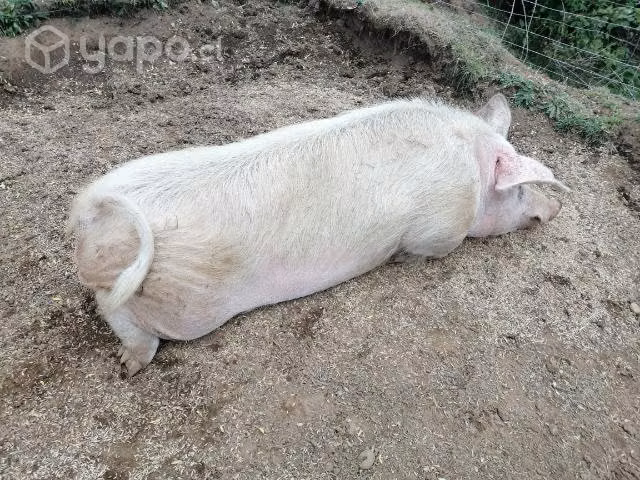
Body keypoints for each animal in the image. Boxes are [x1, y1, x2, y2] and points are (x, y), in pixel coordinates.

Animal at [68, 93, 569, 376]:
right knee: (132, 326)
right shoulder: (440, 230)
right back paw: (128, 369)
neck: (473, 172)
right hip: (187, 307)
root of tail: (94, 213)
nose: (557, 208)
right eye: (519, 188)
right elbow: (423, 252)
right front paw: (402, 261)